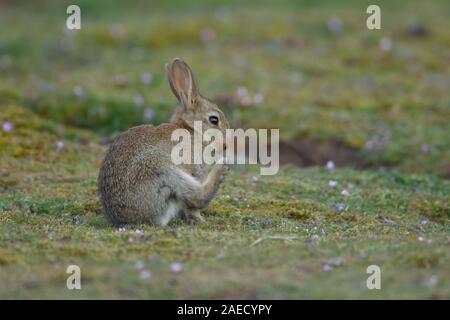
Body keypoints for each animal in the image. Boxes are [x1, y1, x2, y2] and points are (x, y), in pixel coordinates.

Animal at [98, 58, 229, 226]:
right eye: (214, 120)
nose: (226, 145)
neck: (192, 130)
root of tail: (126, 219)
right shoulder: (194, 168)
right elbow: (192, 206)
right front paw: (199, 218)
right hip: (163, 173)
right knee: (195, 196)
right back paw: (222, 169)